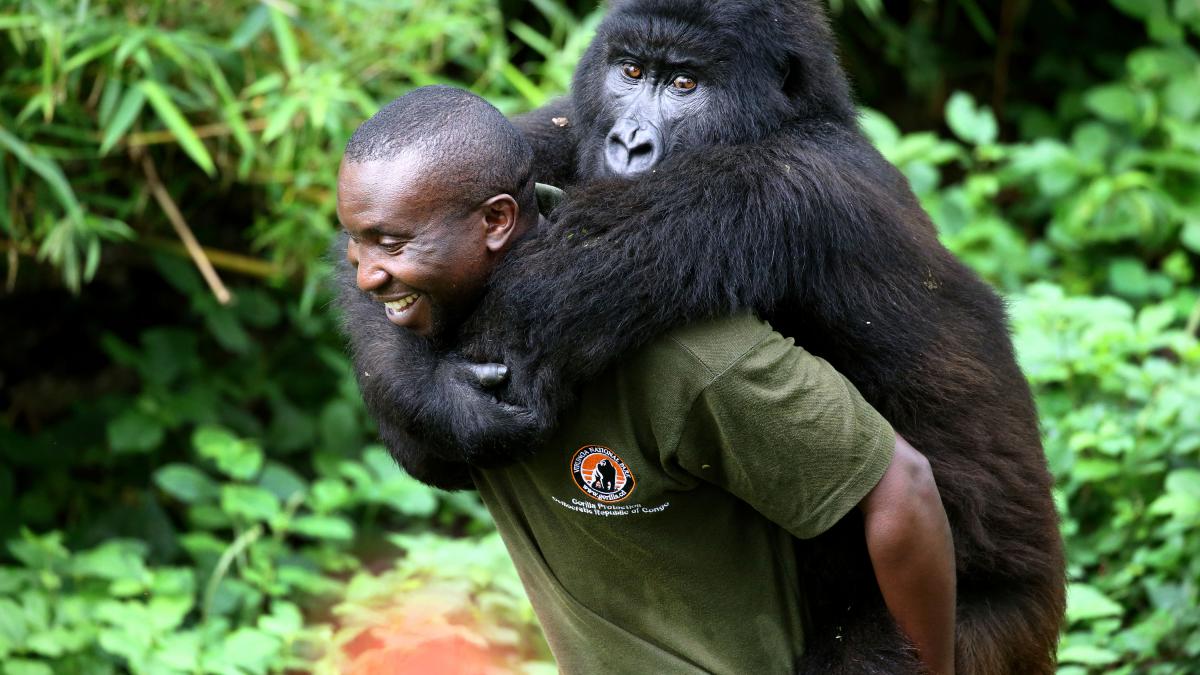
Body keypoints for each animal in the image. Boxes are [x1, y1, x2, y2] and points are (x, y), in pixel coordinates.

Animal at [333, 1, 1065, 672]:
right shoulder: (568, 125)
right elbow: (362, 254)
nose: (628, 145)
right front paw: (441, 404)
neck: (792, 116)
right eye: (630, 72)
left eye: (685, 85)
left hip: (985, 629)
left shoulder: (783, 184)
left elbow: (521, 304)